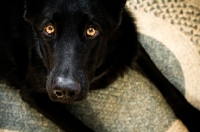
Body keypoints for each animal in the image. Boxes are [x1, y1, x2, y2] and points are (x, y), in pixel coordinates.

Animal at [0, 0, 200, 131]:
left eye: (91, 30)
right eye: (49, 29)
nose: (65, 91)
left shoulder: (131, 46)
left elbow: (168, 85)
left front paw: (192, 116)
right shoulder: (32, 92)